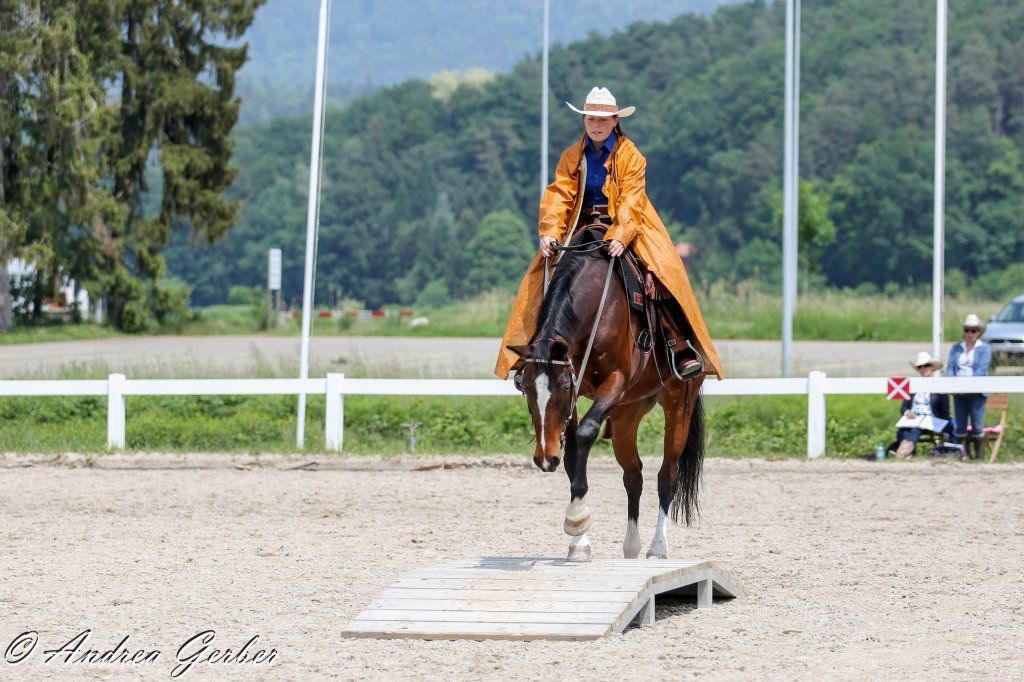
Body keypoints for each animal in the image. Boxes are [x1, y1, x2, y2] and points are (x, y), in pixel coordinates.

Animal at [507, 227, 705, 562]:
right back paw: (631, 546)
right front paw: (579, 539)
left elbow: (586, 432)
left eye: (561, 388)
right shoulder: (579, 394)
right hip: (627, 414)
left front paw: (576, 518)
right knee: (633, 475)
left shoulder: (614, 382)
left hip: (680, 401)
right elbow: (572, 453)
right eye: (526, 389)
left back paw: (657, 547)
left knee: (667, 474)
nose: (545, 458)